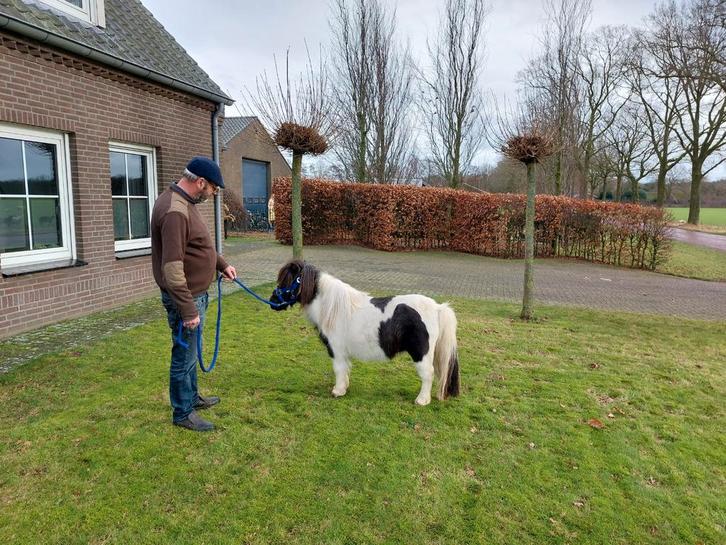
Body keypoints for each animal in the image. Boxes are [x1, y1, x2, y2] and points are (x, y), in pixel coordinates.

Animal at [270, 260, 460, 406]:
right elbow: (345, 369)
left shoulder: (336, 350)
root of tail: (437, 307)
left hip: (421, 354)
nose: (272, 302)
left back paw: (422, 400)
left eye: (287, 280)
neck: (333, 308)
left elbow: (338, 369)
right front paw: (344, 387)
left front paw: (338, 391)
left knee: (428, 374)